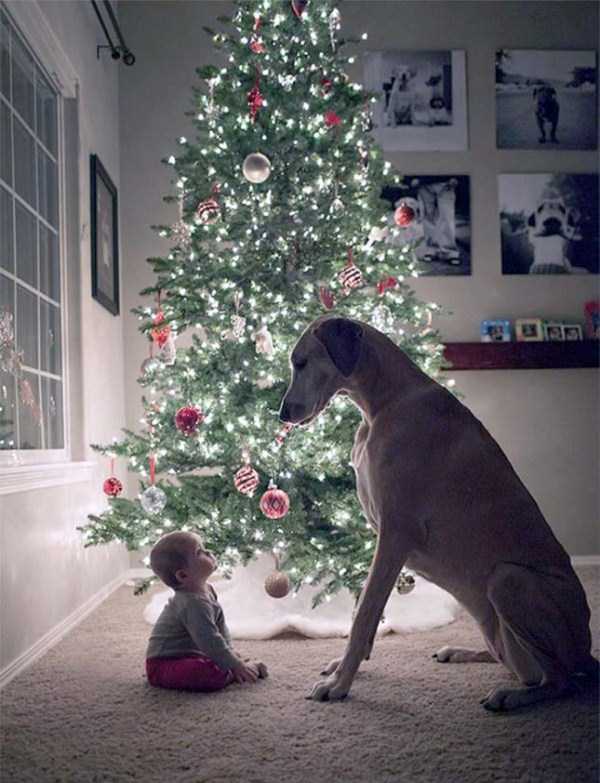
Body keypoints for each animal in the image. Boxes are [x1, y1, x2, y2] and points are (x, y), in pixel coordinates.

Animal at [278, 316, 596, 712]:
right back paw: (461, 652)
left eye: (301, 362)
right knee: (520, 665)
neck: (385, 400)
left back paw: (511, 696)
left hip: (508, 580)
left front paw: (340, 685)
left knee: (561, 680)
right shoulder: (383, 538)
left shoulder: (396, 535)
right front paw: (344, 669)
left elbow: (365, 613)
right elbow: (364, 611)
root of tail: (587, 653)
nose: (281, 413)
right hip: (497, 627)